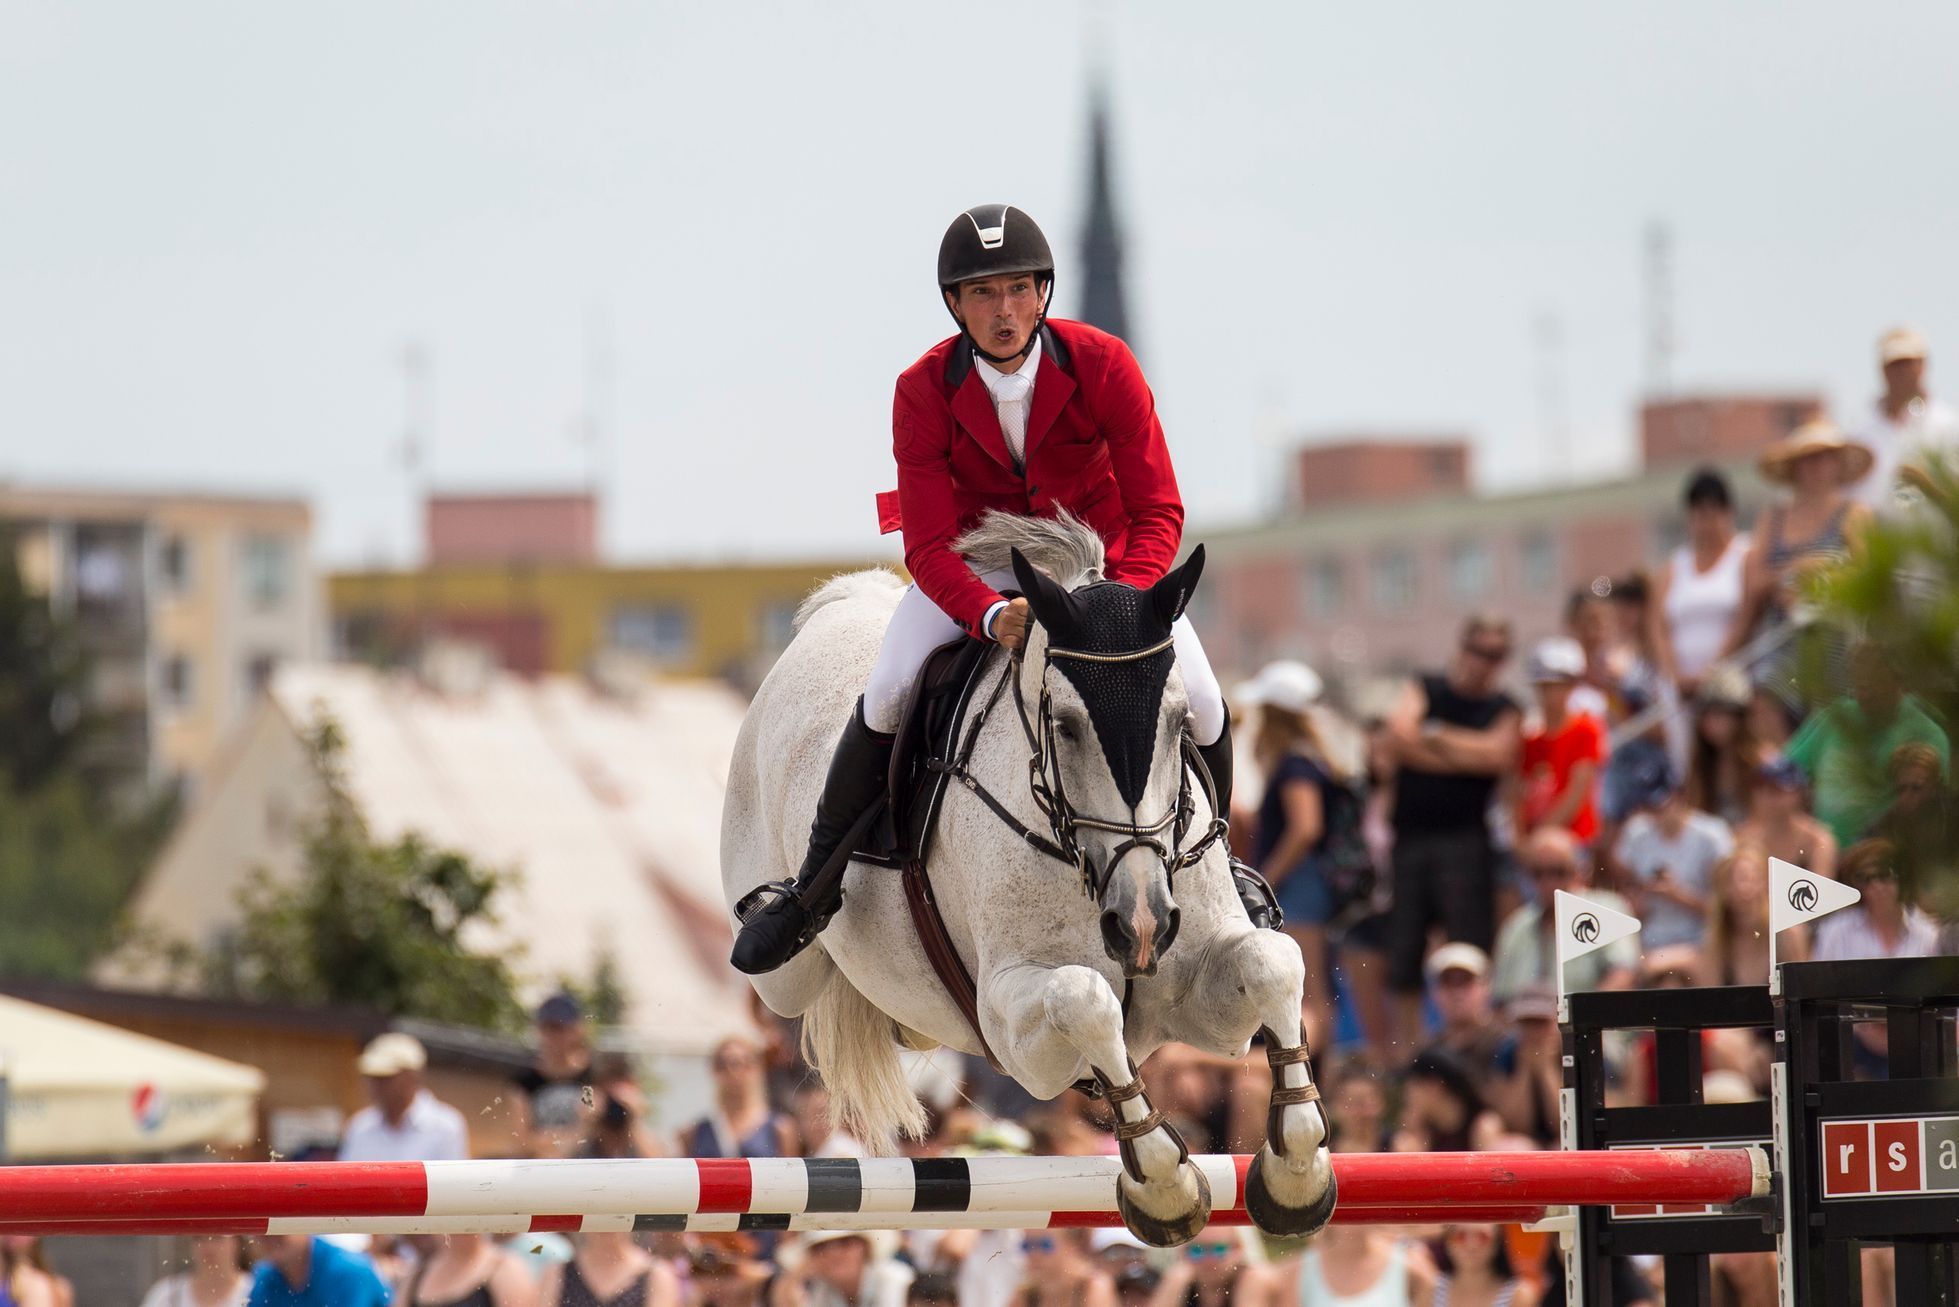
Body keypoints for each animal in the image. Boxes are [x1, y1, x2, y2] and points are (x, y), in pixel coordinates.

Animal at [728, 513, 1339, 1246]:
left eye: (1180, 722)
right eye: (1065, 726)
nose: (1141, 923)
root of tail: (841, 605)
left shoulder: (1205, 1006)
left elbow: (1271, 961)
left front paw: (1295, 1173)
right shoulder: (1010, 1027)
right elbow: (1086, 999)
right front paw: (1163, 1185)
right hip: (786, 971)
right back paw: (779, 917)